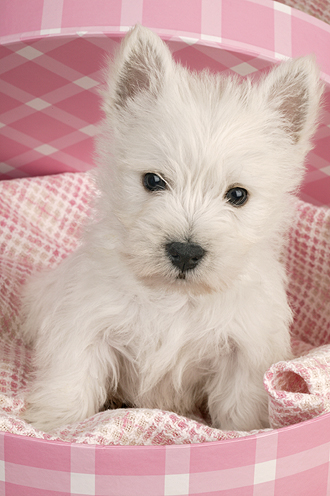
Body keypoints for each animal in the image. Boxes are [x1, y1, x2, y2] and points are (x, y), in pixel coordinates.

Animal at [21, 25, 322, 432]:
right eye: (153, 180)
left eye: (238, 195)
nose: (185, 251)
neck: (176, 297)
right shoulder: (86, 325)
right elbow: (71, 382)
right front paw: (53, 426)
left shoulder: (244, 352)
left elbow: (241, 409)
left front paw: (246, 432)